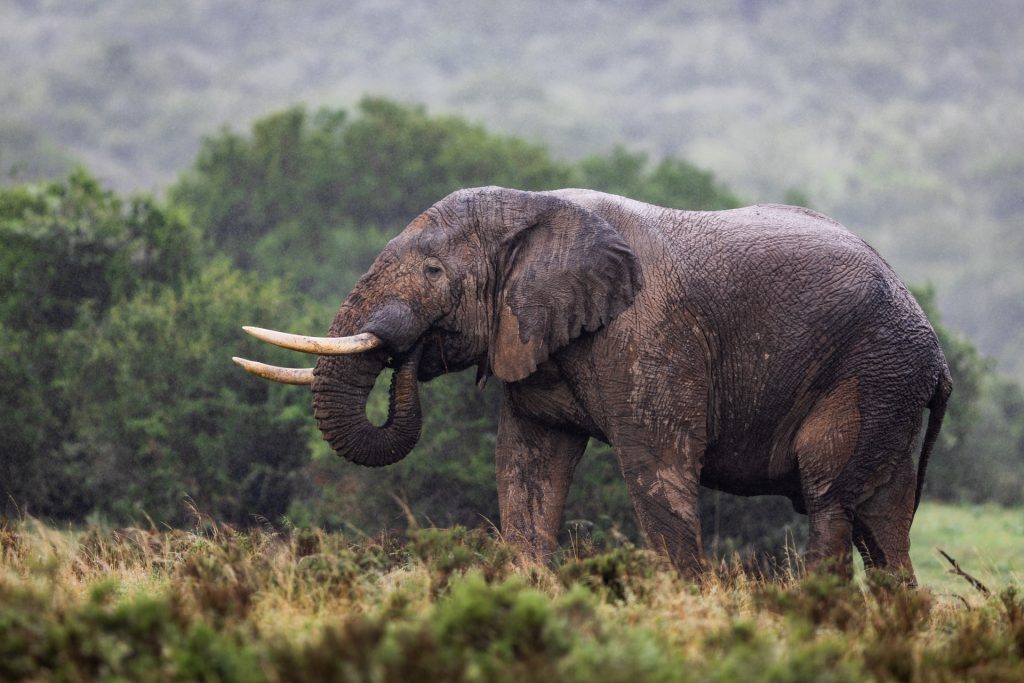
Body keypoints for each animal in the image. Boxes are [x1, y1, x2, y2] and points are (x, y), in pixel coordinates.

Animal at [234, 187, 952, 581]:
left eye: (434, 271)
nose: (407, 350)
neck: (533, 209)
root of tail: (937, 349)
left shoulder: (652, 334)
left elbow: (656, 467)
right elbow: (527, 465)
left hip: (870, 371)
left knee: (831, 500)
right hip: (890, 384)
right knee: (883, 523)